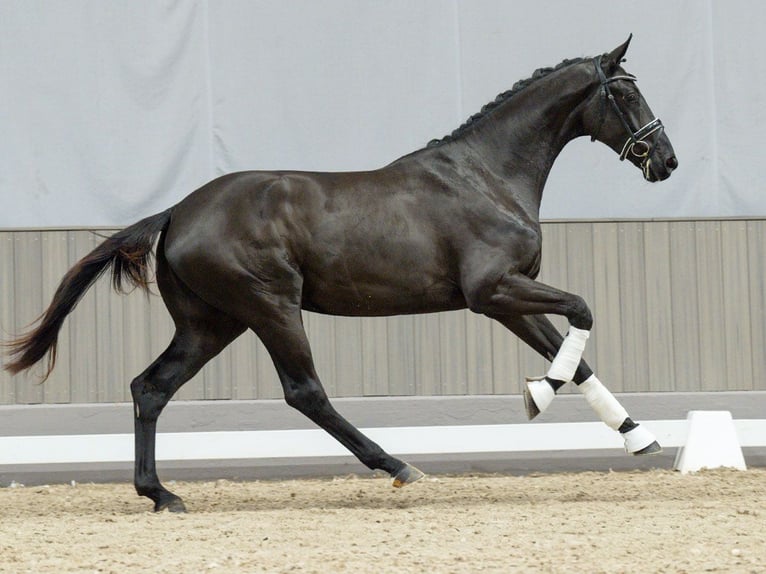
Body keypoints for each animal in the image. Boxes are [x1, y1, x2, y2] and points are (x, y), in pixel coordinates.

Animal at [4, 37, 680, 512]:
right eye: (627, 93)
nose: (667, 161)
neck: (488, 176)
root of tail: (176, 212)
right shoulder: (491, 291)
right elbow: (583, 312)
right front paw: (539, 393)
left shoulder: (507, 298)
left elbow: (576, 354)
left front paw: (637, 436)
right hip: (271, 308)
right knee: (304, 391)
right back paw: (398, 466)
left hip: (211, 323)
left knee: (151, 387)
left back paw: (161, 494)